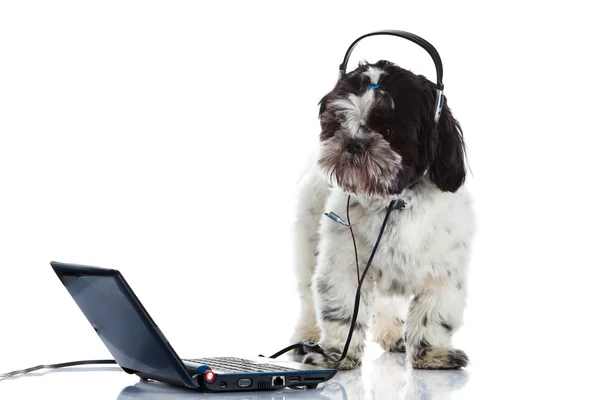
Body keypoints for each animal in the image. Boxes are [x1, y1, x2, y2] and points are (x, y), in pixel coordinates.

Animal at [290, 60, 474, 372]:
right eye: (339, 123)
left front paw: (433, 354)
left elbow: (433, 315)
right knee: (306, 299)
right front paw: (336, 354)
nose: (353, 142)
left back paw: (394, 334)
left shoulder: (442, 273)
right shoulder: (344, 265)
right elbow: (342, 310)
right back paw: (307, 336)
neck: (394, 201)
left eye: (387, 130)